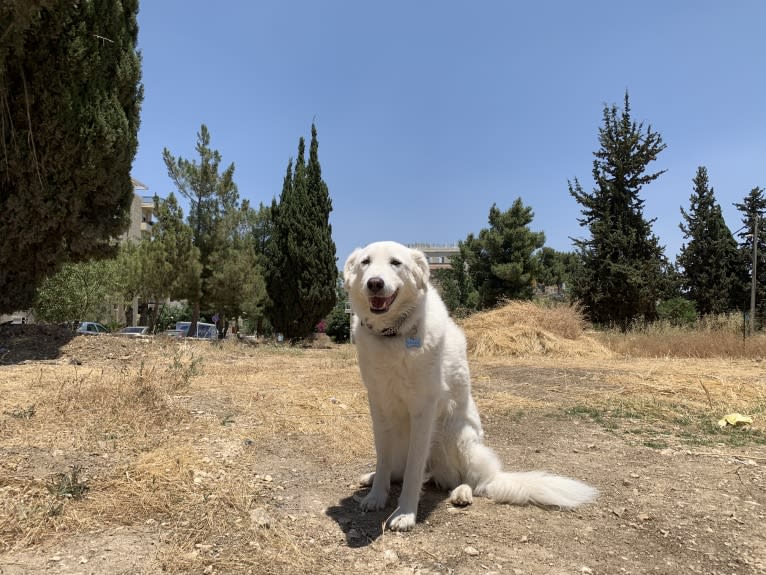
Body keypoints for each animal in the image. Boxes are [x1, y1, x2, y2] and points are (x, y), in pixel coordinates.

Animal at [344, 241, 600, 532]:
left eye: (395, 263)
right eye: (365, 262)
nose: (375, 283)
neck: (393, 336)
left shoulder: (424, 409)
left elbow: (413, 473)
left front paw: (405, 513)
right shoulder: (379, 404)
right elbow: (383, 457)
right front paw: (376, 495)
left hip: (457, 437)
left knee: (472, 481)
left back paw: (462, 493)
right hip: (404, 440)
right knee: (404, 469)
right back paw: (373, 477)